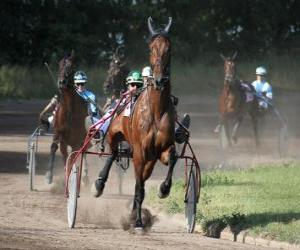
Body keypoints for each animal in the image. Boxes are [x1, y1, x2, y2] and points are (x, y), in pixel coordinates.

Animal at [44, 51, 88, 184]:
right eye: (59, 66)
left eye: (72, 67)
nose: (62, 82)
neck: (69, 112)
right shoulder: (60, 135)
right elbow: (60, 152)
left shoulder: (77, 141)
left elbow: (73, 157)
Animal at [92, 17, 176, 229]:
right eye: (151, 48)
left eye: (169, 48)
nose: (159, 79)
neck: (156, 110)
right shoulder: (140, 152)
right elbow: (138, 188)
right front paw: (137, 221)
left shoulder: (160, 150)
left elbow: (172, 157)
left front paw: (164, 189)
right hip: (114, 133)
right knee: (113, 154)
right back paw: (99, 184)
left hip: (150, 160)